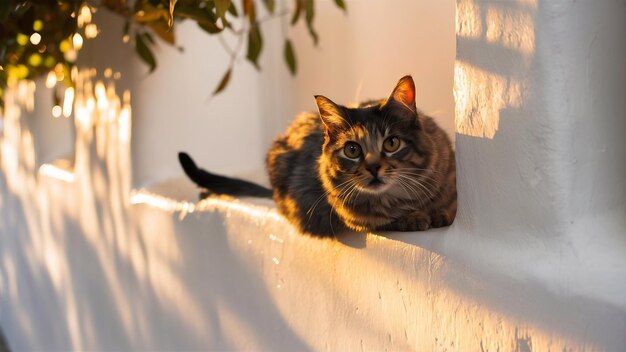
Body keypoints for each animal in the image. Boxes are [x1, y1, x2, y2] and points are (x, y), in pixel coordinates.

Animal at [178, 76, 456, 236]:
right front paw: (415, 218)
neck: (403, 196)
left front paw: (440, 212)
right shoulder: (353, 216)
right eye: (352, 150)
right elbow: (385, 219)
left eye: (391, 143)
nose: (374, 167)